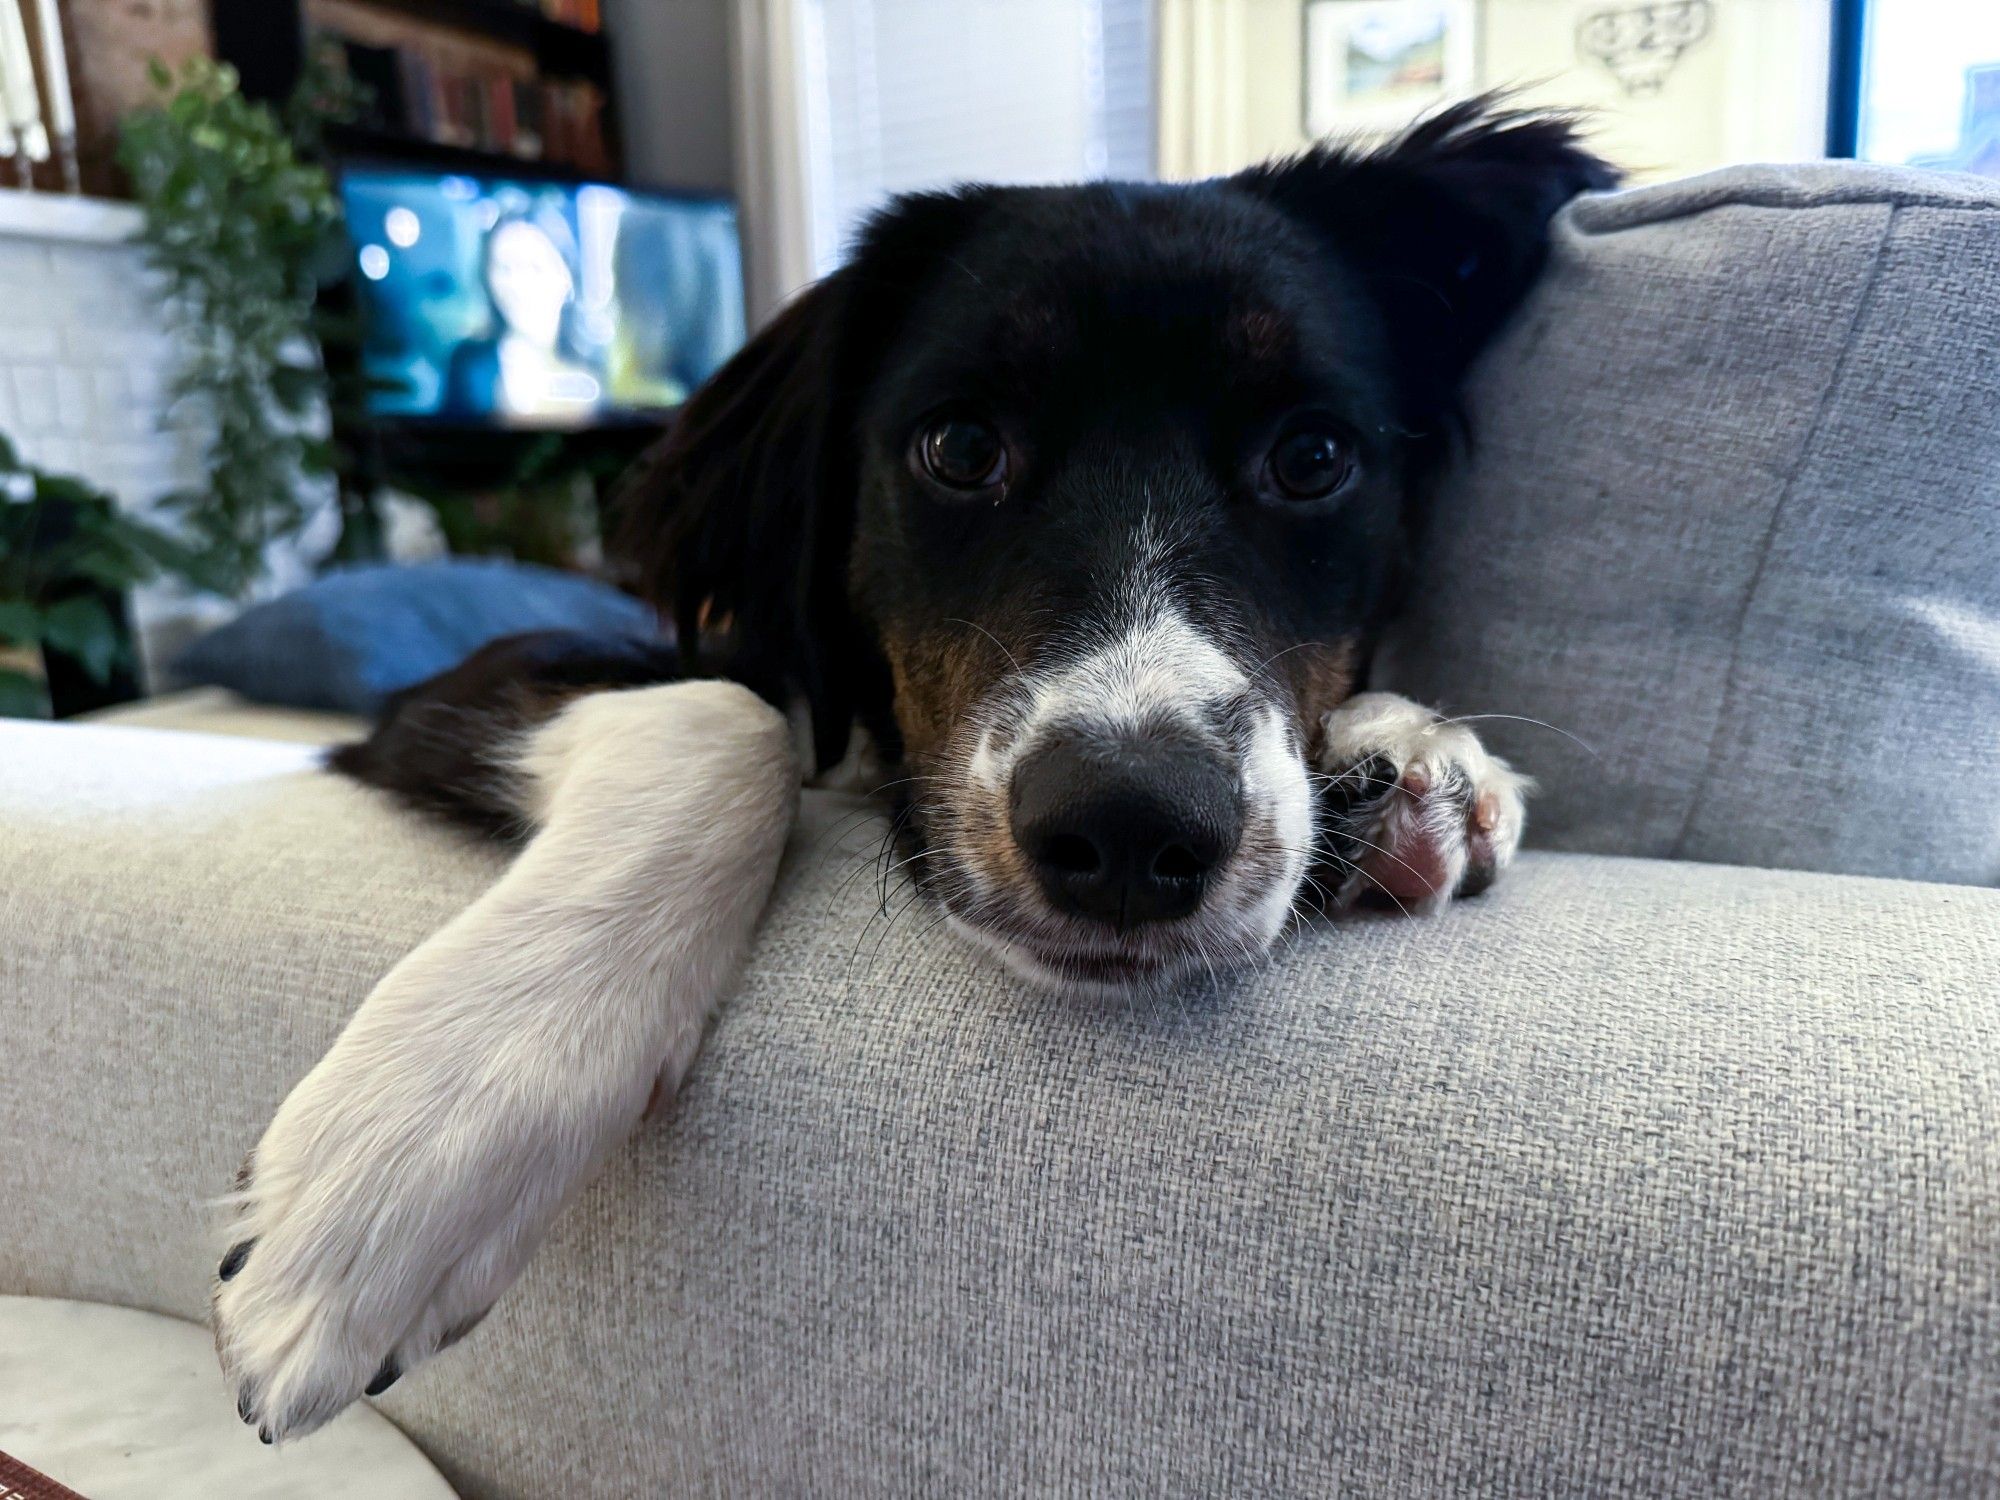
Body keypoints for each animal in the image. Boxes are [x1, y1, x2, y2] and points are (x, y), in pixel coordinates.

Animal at [215, 100, 1624, 1440]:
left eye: (1313, 457)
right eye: (958, 448)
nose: (1127, 831)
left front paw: (1411, 754)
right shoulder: (455, 688)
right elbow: (723, 718)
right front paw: (408, 1154)